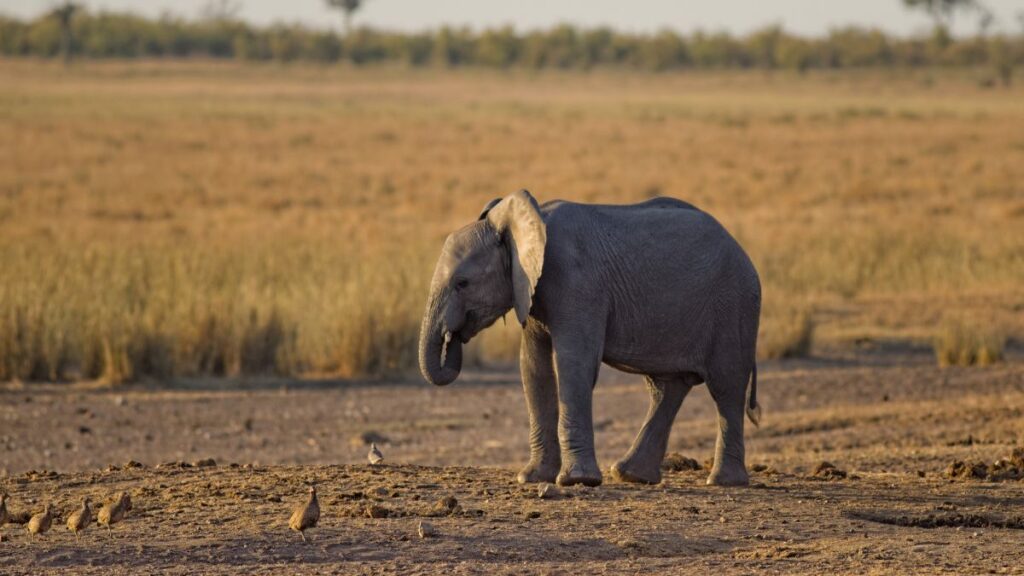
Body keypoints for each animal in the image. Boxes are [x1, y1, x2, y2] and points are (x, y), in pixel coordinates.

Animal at [418, 189, 761, 487]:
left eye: (462, 283)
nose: (453, 337)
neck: (520, 223)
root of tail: (744, 253)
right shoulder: (530, 289)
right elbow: (533, 368)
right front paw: (532, 478)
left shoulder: (576, 282)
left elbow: (574, 365)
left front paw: (576, 481)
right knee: (667, 387)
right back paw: (630, 475)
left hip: (734, 306)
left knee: (726, 386)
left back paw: (722, 482)